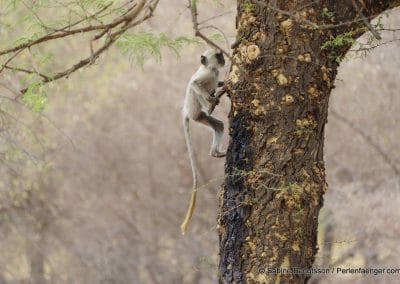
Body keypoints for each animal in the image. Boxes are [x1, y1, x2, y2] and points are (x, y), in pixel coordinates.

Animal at [180, 49, 227, 235]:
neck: (211, 69)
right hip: (195, 110)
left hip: (199, 117)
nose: (224, 60)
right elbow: (194, 84)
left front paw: (222, 83)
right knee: (194, 90)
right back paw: (210, 104)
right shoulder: (207, 74)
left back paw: (215, 152)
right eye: (218, 55)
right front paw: (213, 96)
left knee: (218, 125)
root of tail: (186, 112)